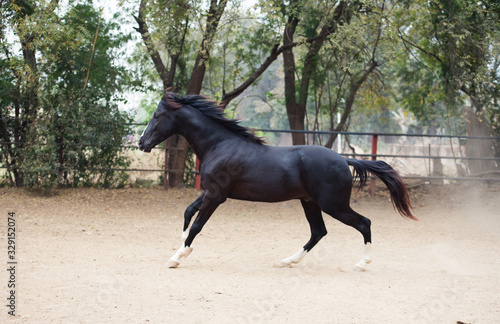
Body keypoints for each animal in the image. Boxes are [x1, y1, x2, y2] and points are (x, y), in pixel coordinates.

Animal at [139, 92, 416, 270]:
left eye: (157, 115)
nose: (141, 143)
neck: (220, 145)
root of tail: (343, 159)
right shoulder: (210, 191)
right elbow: (188, 212)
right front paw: (181, 245)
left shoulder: (216, 196)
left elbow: (197, 225)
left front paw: (177, 257)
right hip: (310, 202)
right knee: (318, 231)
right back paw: (287, 261)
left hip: (333, 205)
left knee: (363, 223)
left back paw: (362, 263)